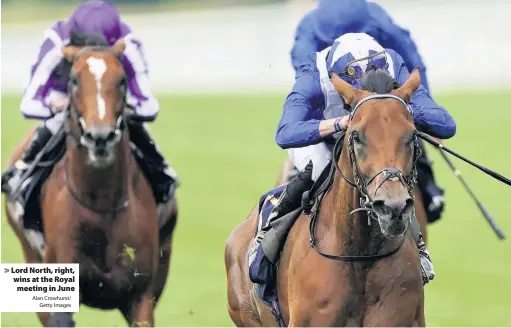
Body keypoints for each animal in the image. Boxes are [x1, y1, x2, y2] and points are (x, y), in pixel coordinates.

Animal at [4, 40, 178, 326]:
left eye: (122, 80)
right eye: (74, 80)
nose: (100, 137)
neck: (102, 203)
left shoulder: (141, 295)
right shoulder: (58, 298)